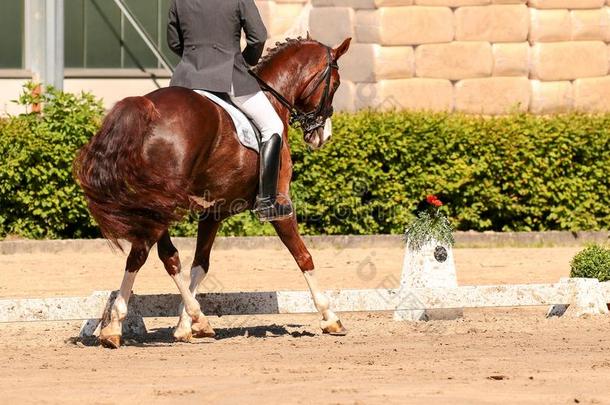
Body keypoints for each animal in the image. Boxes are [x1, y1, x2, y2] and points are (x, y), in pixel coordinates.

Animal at [75, 37, 352, 348]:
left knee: (152, 255)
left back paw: (117, 327)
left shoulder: (213, 212)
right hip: (161, 204)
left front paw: (183, 326)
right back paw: (193, 319)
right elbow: (303, 256)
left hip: (152, 203)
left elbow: (200, 264)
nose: (322, 135)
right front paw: (330, 317)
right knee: (153, 253)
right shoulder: (281, 204)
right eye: (336, 83)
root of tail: (147, 106)